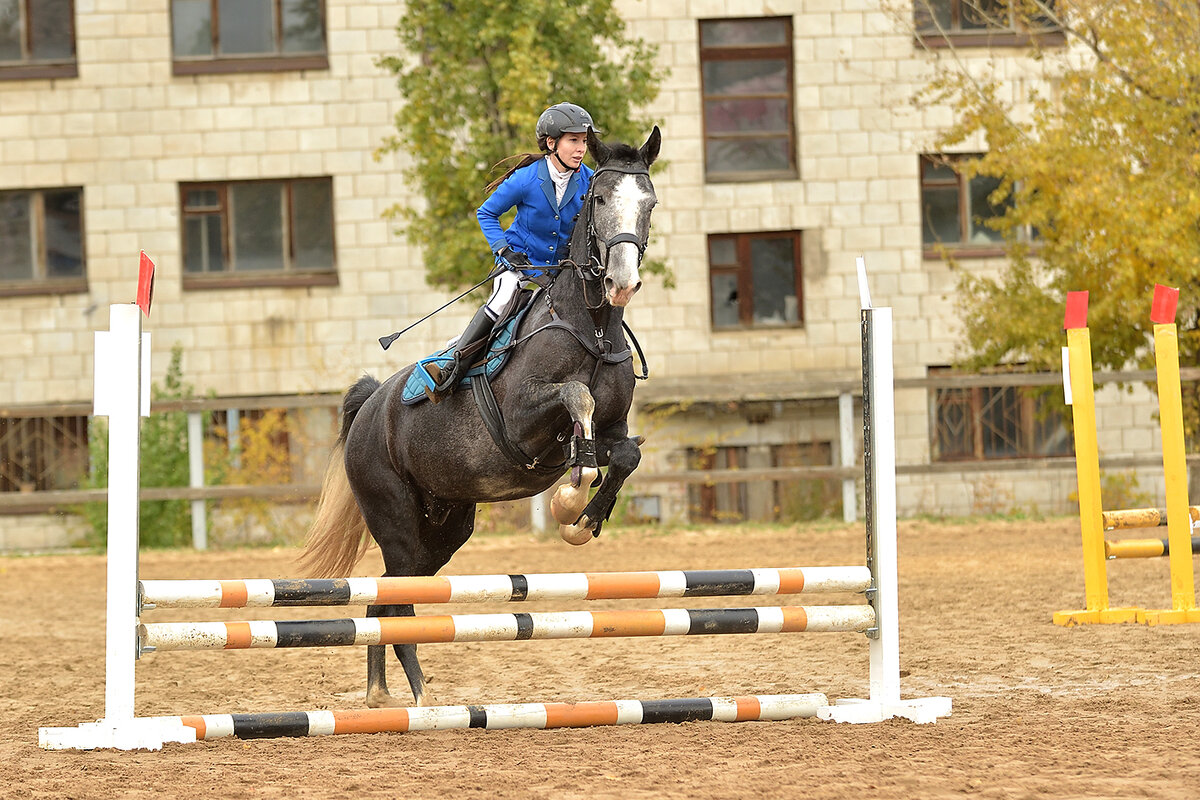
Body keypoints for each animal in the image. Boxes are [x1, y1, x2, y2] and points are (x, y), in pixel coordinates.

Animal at [298, 126, 657, 705]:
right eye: (600, 199)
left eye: (649, 203)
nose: (622, 283)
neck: (593, 329)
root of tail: (371, 407)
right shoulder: (523, 423)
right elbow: (576, 396)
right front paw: (571, 495)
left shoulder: (613, 430)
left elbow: (624, 454)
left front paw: (583, 520)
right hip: (398, 524)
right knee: (396, 599)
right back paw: (419, 698)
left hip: (444, 529)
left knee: (384, 600)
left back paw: (384, 695)